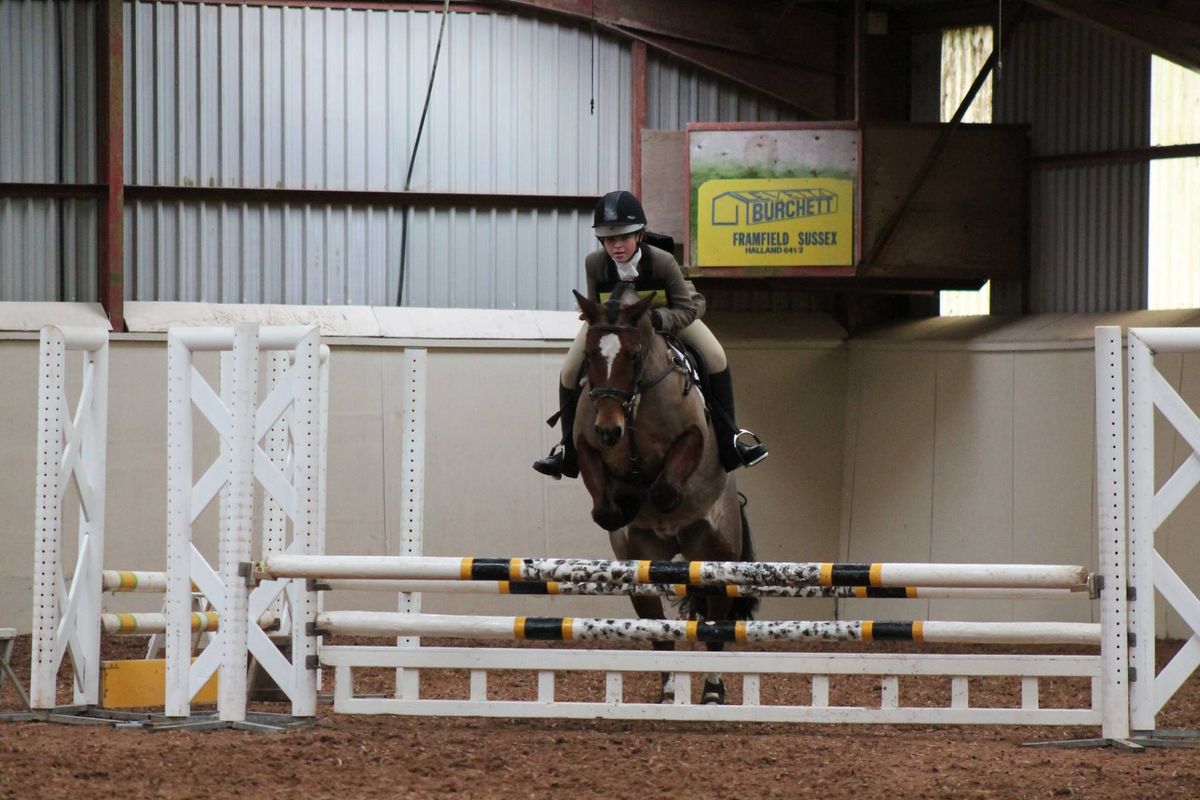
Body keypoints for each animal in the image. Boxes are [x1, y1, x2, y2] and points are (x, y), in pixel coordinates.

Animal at [571, 289, 758, 705]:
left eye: (634, 355)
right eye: (589, 356)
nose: (609, 429)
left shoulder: (692, 438)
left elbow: (664, 488)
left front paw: (648, 494)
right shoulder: (586, 446)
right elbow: (604, 506)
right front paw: (622, 503)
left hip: (716, 556)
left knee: (715, 622)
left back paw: (712, 691)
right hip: (640, 570)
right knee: (657, 629)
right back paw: (670, 691)